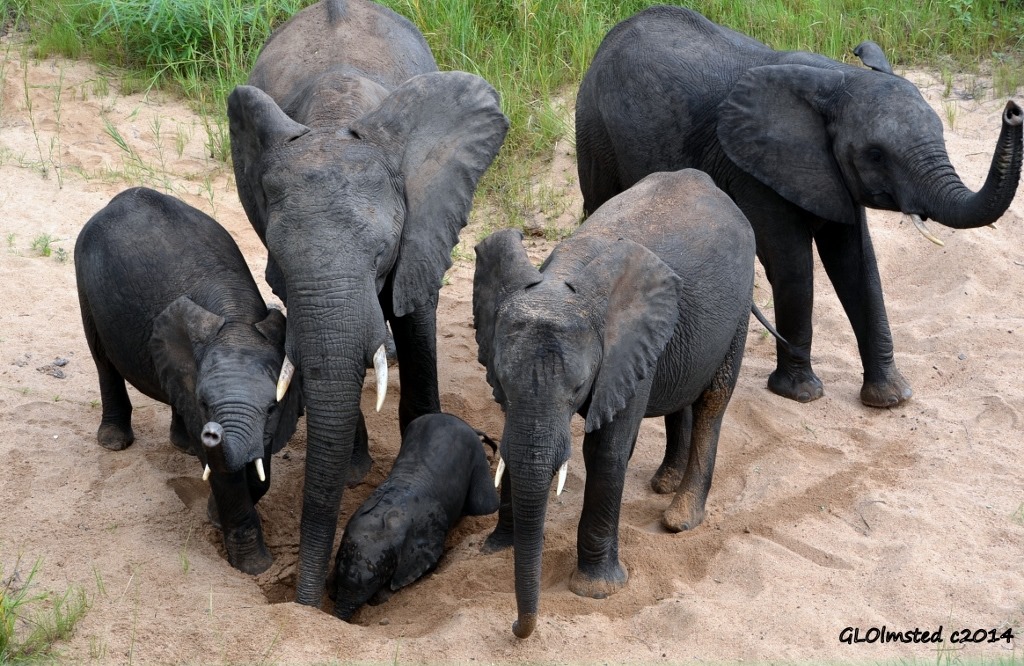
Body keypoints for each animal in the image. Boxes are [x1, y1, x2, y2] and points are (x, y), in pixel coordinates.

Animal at [74, 185, 301, 569]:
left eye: (271, 409)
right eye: (206, 404)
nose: (212, 434)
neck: (236, 319)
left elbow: (261, 465)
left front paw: (216, 515)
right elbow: (226, 474)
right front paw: (253, 567)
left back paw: (183, 446)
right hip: (83, 277)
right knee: (102, 359)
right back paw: (115, 441)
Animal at [475, 169, 757, 635]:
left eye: (577, 387)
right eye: (501, 380)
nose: (517, 628)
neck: (563, 281)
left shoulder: (626, 349)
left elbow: (606, 452)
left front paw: (596, 590)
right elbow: (513, 441)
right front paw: (494, 549)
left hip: (739, 307)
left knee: (713, 400)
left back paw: (680, 518)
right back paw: (664, 483)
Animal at [581, 5, 1019, 407]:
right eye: (876, 155)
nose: (1013, 111)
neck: (838, 79)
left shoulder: (832, 175)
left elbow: (858, 264)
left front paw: (891, 399)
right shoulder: (752, 168)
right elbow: (792, 263)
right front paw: (801, 394)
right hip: (595, 124)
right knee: (600, 200)